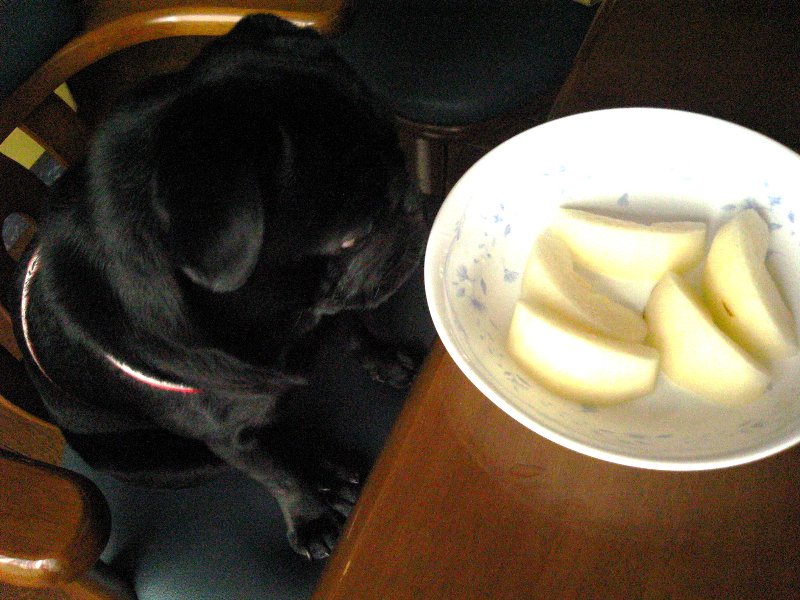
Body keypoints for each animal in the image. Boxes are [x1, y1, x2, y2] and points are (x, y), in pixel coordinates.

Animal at [10, 14, 427, 560]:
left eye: (402, 151)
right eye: (352, 237)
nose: (415, 204)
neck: (279, 321)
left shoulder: (325, 307)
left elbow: (353, 324)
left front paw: (382, 356)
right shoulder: (229, 436)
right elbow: (276, 473)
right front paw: (309, 515)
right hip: (169, 459)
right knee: (280, 450)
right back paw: (329, 479)